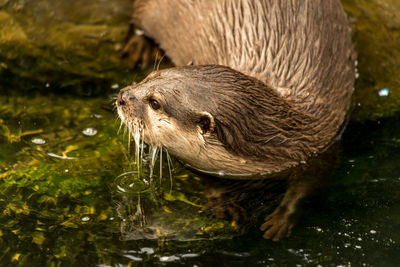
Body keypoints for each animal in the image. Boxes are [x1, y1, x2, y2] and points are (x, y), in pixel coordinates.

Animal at [117, 0, 354, 242]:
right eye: (149, 77)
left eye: (155, 102)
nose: (122, 96)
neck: (284, 141)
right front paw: (224, 203)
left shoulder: (321, 152)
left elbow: (308, 189)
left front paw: (280, 220)